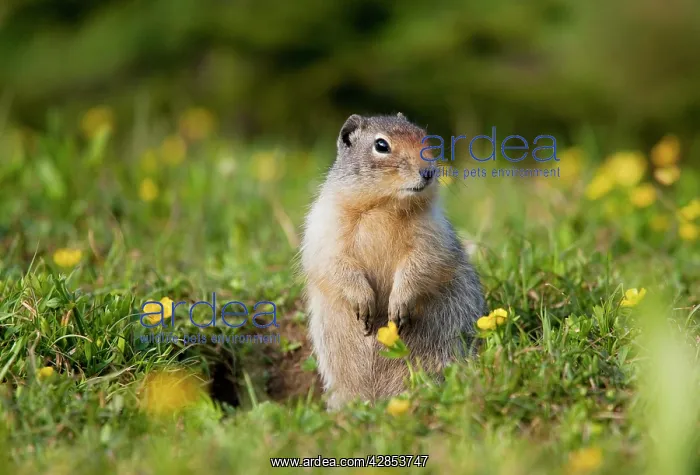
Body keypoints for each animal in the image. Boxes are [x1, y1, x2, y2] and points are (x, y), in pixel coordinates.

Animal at [300, 113, 486, 409]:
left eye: (425, 137)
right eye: (381, 145)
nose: (428, 172)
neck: (384, 206)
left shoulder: (431, 234)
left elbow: (420, 264)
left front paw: (398, 306)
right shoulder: (326, 225)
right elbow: (335, 262)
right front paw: (363, 303)